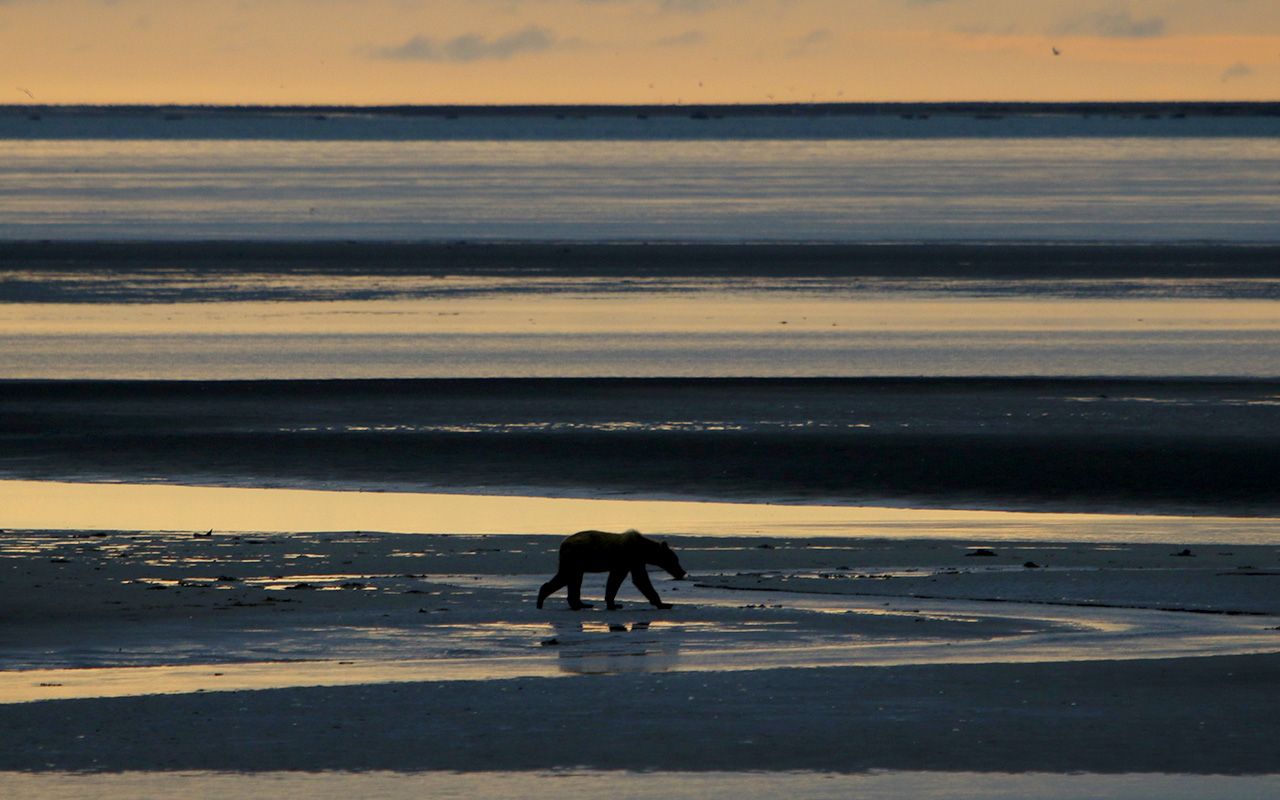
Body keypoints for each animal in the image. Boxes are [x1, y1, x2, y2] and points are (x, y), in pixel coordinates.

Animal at [535, 527, 686, 609]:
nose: (682, 572)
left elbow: (623, 579)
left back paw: (581, 604)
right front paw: (664, 604)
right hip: (575, 558)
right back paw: (542, 598)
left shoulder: (633, 561)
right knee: (567, 577)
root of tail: (563, 544)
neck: (642, 549)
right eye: (675, 560)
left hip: (576, 562)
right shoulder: (628, 558)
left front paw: (613, 603)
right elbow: (637, 579)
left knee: (573, 580)